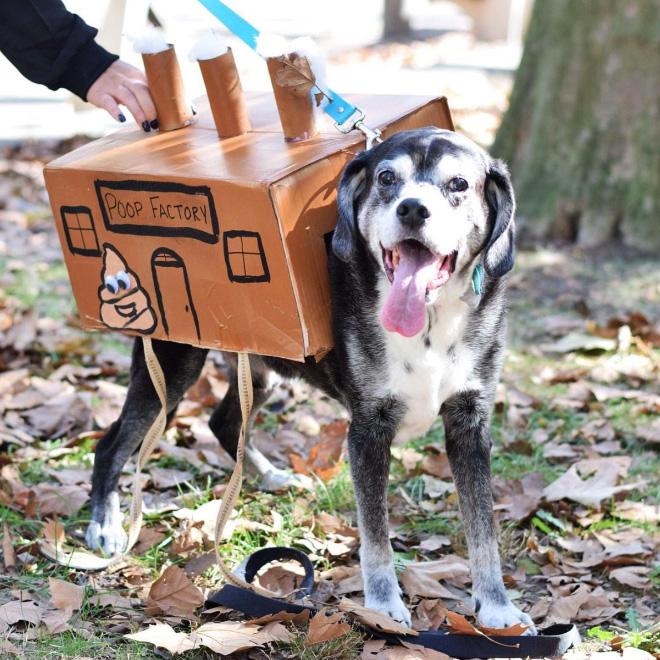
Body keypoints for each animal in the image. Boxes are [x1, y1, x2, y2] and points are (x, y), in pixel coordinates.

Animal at [84, 125, 536, 636]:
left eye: (458, 183)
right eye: (386, 177)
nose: (412, 209)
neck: (429, 322)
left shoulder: (469, 425)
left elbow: (483, 531)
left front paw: (497, 609)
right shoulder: (368, 432)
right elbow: (375, 536)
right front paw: (383, 607)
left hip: (261, 375)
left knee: (223, 421)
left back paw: (270, 475)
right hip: (173, 365)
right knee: (112, 444)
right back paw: (105, 526)